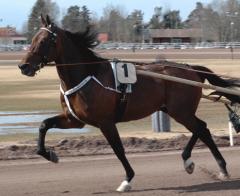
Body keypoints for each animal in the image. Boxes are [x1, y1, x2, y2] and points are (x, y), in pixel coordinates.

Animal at [18, 15, 240, 191]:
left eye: (44, 40)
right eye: (33, 39)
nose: (23, 66)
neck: (88, 74)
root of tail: (190, 69)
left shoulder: (105, 122)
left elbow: (118, 150)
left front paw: (127, 180)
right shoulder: (75, 120)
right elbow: (43, 125)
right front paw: (50, 154)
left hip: (181, 111)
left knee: (201, 128)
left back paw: (201, 163)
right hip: (174, 110)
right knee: (202, 129)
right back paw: (209, 165)